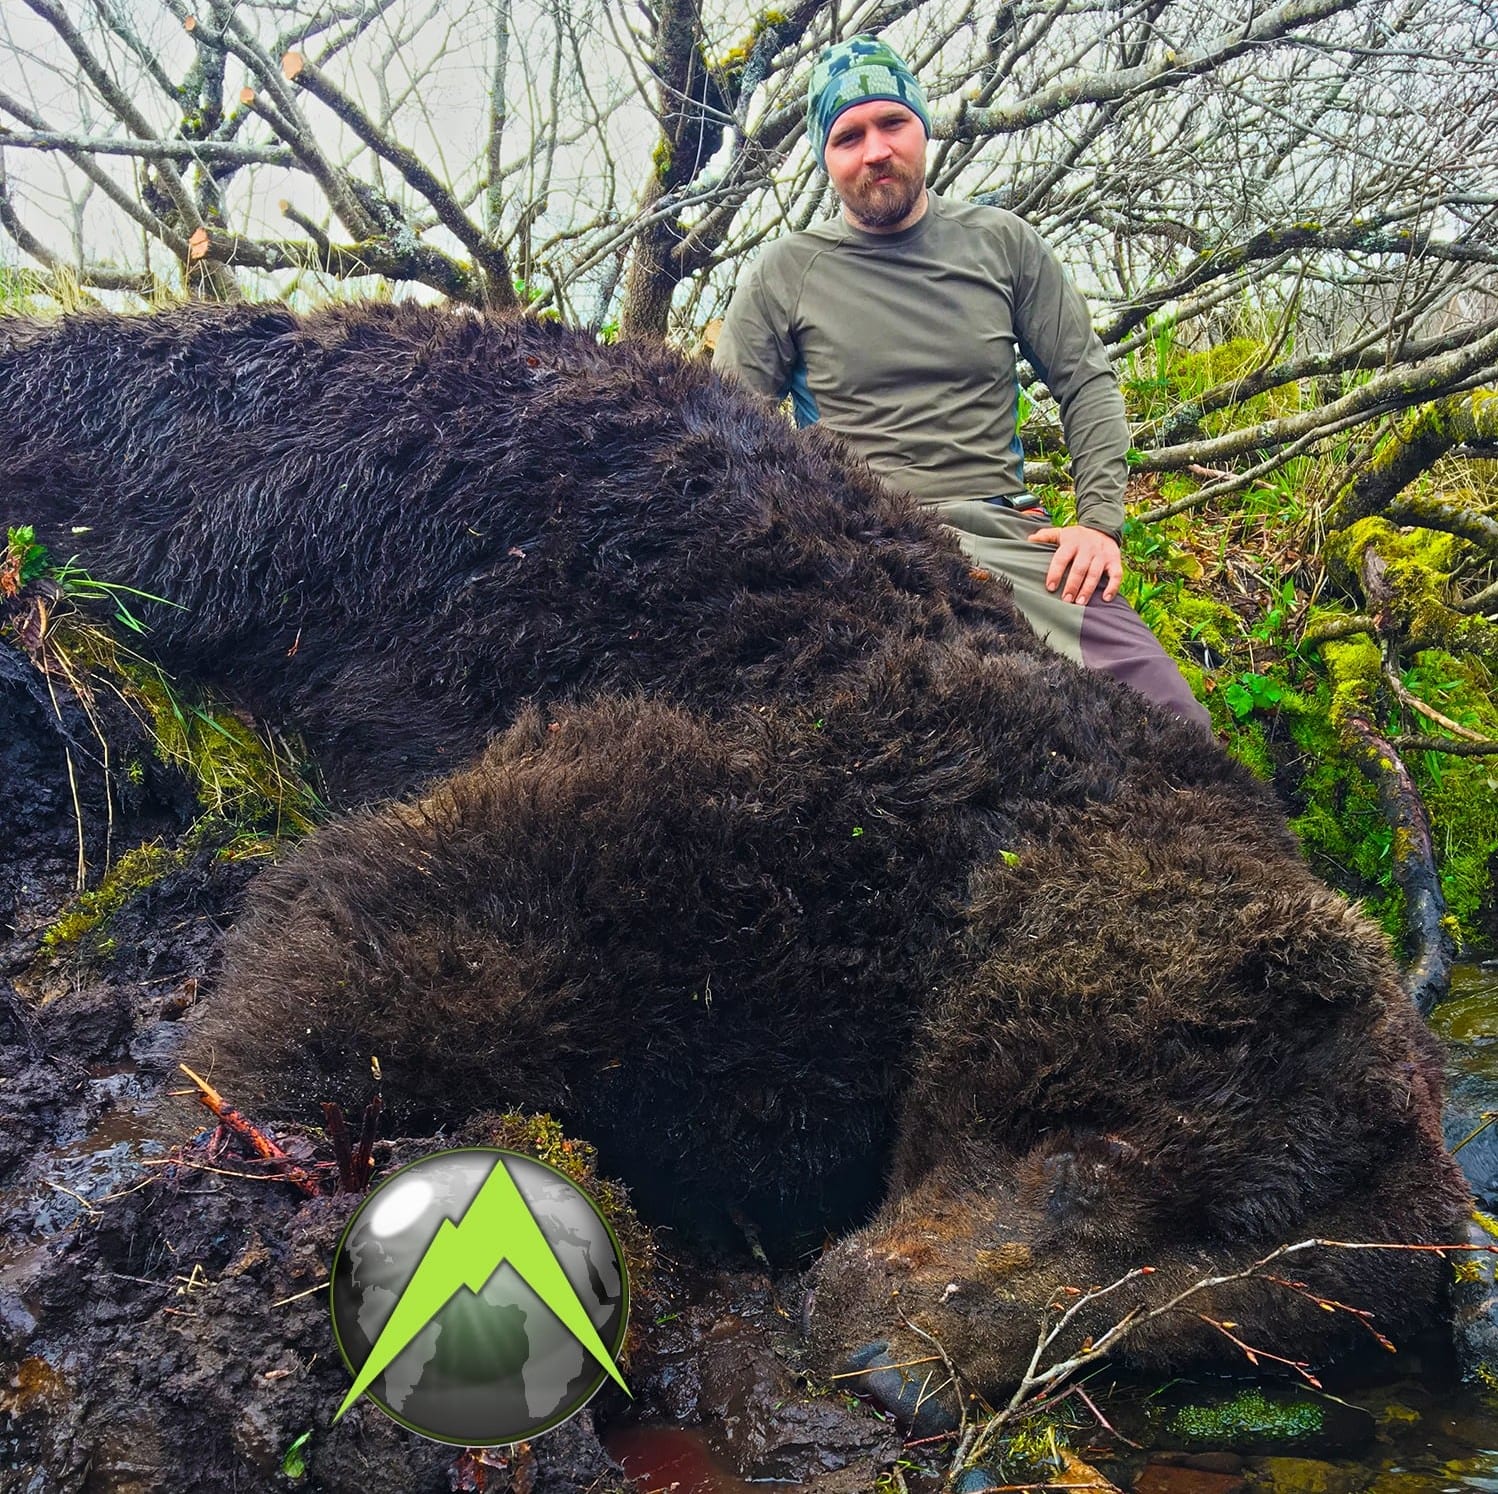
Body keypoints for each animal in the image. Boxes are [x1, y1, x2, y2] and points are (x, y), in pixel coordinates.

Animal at [0, 299, 1474, 1408]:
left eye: (1200, 1323)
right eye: (1099, 1154)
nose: (892, 1374)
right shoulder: (813, 776)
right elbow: (453, 895)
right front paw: (252, 1108)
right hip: (258, 471)